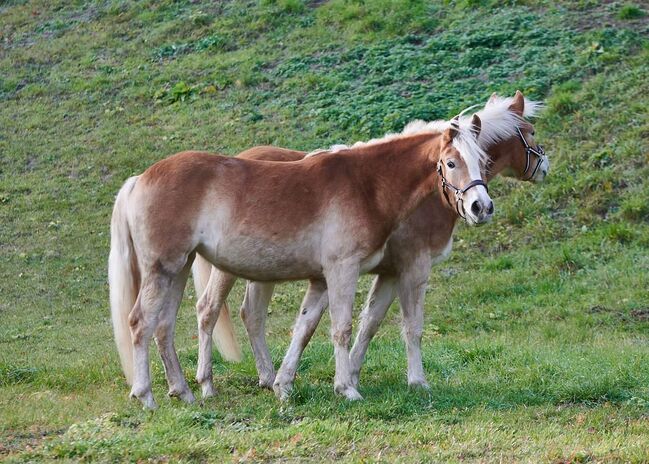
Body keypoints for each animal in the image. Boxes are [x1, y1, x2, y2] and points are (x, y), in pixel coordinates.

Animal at [107, 113, 492, 410]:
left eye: (484, 162)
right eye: (452, 163)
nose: (482, 208)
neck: (367, 184)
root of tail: (139, 179)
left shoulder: (322, 279)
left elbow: (304, 329)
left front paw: (283, 385)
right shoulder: (344, 270)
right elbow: (343, 328)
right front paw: (347, 389)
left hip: (180, 268)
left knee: (165, 326)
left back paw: (185, 391)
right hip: (163, 269)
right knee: (141, 322)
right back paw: (147, 396)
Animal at [192, 91, 548, 402]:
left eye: (484, 159)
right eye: (530, 132)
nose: (482, 208)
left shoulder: (387, 272)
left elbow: (367, 325)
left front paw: (349, 374)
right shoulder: (411, 266)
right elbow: (409, 326)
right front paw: (413, 381)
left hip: (263, 271)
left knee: (252, 315)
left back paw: (268, 377)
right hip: (228, 270)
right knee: (210, 310)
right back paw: (209, 384)